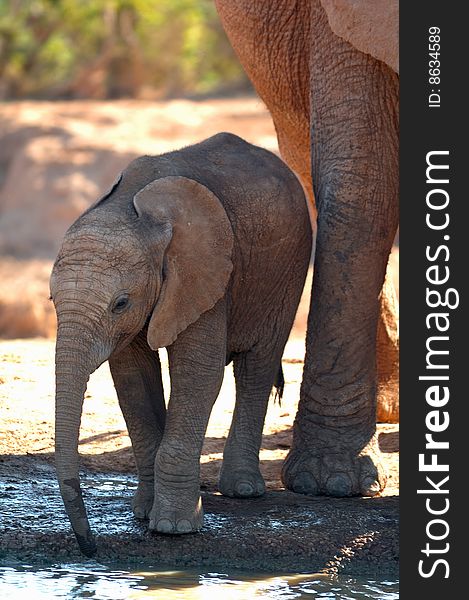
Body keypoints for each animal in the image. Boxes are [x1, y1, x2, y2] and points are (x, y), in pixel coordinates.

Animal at [50, 134, 310, 556]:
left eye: (120, 303)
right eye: (52, 300)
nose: (90, 548)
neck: (134, 212)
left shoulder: (204, 270)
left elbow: (197, 373)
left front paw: (174, 528)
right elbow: (132, 380)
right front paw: (143, 514)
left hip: (288, 269)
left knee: (257, 366)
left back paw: (242, 490)